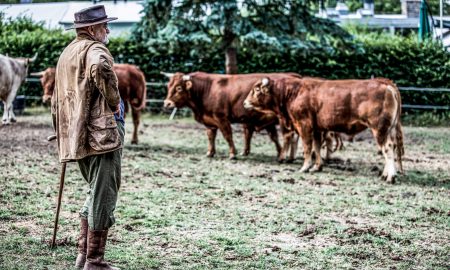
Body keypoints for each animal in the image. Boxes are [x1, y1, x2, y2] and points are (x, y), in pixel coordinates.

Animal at [244, 76, 406, 184]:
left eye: (256, 89)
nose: (245, 103)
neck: (294, 92)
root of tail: (385, 83)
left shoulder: (304, 125)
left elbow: (307, 147)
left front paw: (305, 167)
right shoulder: (317, 128)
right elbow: (316, 147)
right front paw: (317, 167)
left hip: (380, 129)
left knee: (387, 149)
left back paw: (390, 176)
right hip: (390, 129)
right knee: (390, 148)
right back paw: (384, 174)